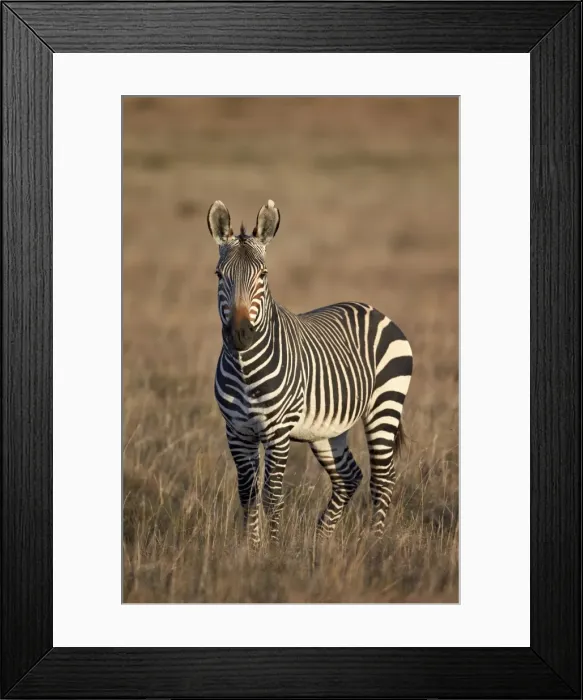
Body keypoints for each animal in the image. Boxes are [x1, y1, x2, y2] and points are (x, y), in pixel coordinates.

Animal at [208, 199, 413, 548]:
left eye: (263, 275)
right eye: (220, 274)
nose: (240, 335)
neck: (246, 370)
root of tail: (373, 309)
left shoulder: (277, 432)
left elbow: (272, 496)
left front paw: (273, 552)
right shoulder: (237, 431)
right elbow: (248, 495)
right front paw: (251, 551)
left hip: (384, 405)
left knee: (383, 478)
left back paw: (374, 543)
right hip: (328, 430)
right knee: (349, 477)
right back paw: (321, 542)